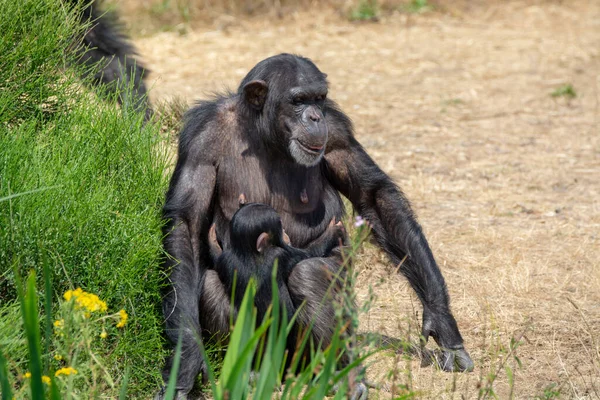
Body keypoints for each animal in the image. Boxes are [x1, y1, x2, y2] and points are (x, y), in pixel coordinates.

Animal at [158, 54, 474, 400]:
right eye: (298, 100)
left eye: (319, 98)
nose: (313, 116)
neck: (266, 136)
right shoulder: (201, 137)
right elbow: (186, 223)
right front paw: (186, 359)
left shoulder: (336, 130)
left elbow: (374, 197)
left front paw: (442, 321)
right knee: (213, 285)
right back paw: (251, 374)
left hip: (307, 353)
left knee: (310, 275)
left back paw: (342, 378)